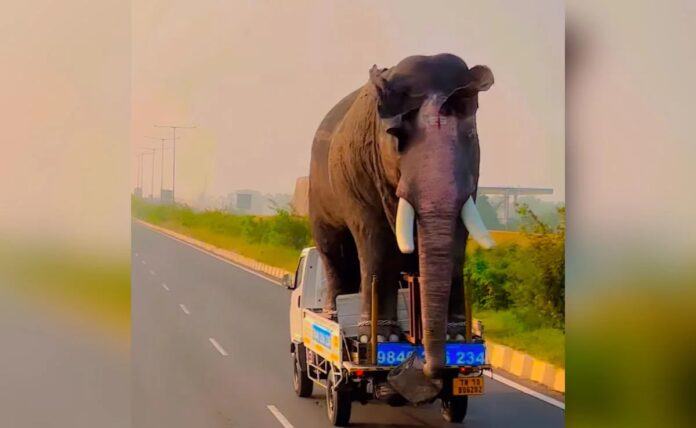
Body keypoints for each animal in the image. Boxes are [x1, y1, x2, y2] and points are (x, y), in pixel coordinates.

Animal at [308, 53, 495, 378]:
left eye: (471, 135)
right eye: (397, 137)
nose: (430, 367)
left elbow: (458, 241)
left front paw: (457, 335)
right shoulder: (360, 175)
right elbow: (377, 242)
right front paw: (382, 338)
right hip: (318, 196)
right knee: (334, 251)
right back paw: (332, 313)